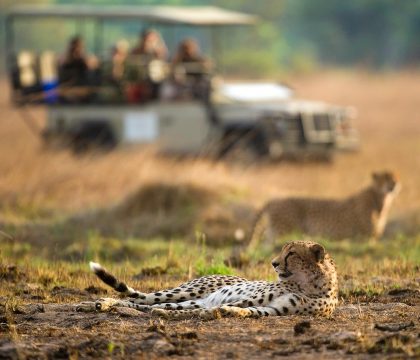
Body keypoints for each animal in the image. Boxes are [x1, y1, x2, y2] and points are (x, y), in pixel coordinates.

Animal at [75, 240, 338, 320]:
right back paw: (95, 303)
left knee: (145, 305)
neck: (308, 285)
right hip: (185, 292)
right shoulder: (252, 299)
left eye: (291, 253)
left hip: (190, 298)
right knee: (145, 299)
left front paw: (224, 312)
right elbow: (234, 306)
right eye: (284, 251)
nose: (273, 263)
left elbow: (246, 311)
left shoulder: (274, 310)